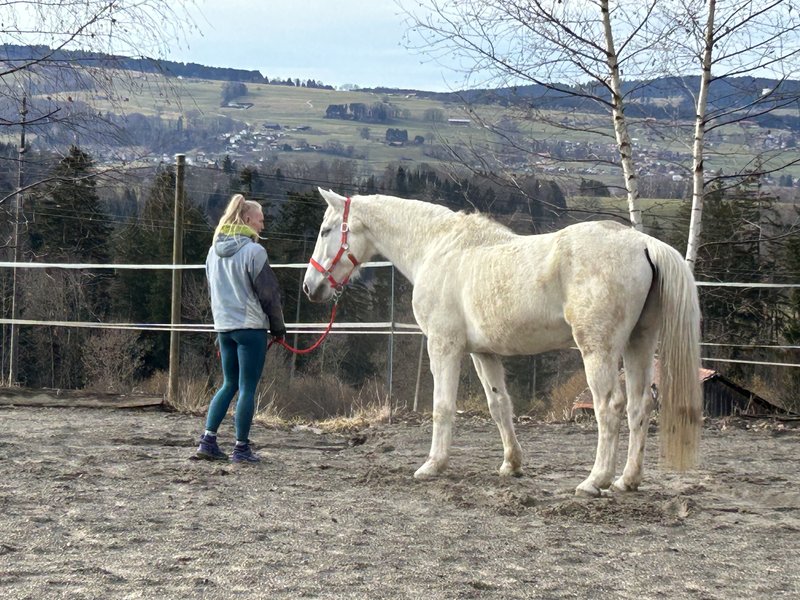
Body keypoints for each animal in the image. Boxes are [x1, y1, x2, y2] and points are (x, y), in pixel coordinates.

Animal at [302, 188, 702, 497]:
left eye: (324, 230)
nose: (310, 286)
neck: (437, 247)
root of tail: (642, 243)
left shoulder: (444, 347)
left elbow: (442, 407)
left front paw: (433, 465)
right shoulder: (483, 353)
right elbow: (499, 406)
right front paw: (512, 464)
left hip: (598, 350)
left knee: (610, 407)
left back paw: (594, 481)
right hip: (639, 344)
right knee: (639, 406)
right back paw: (627, 480)